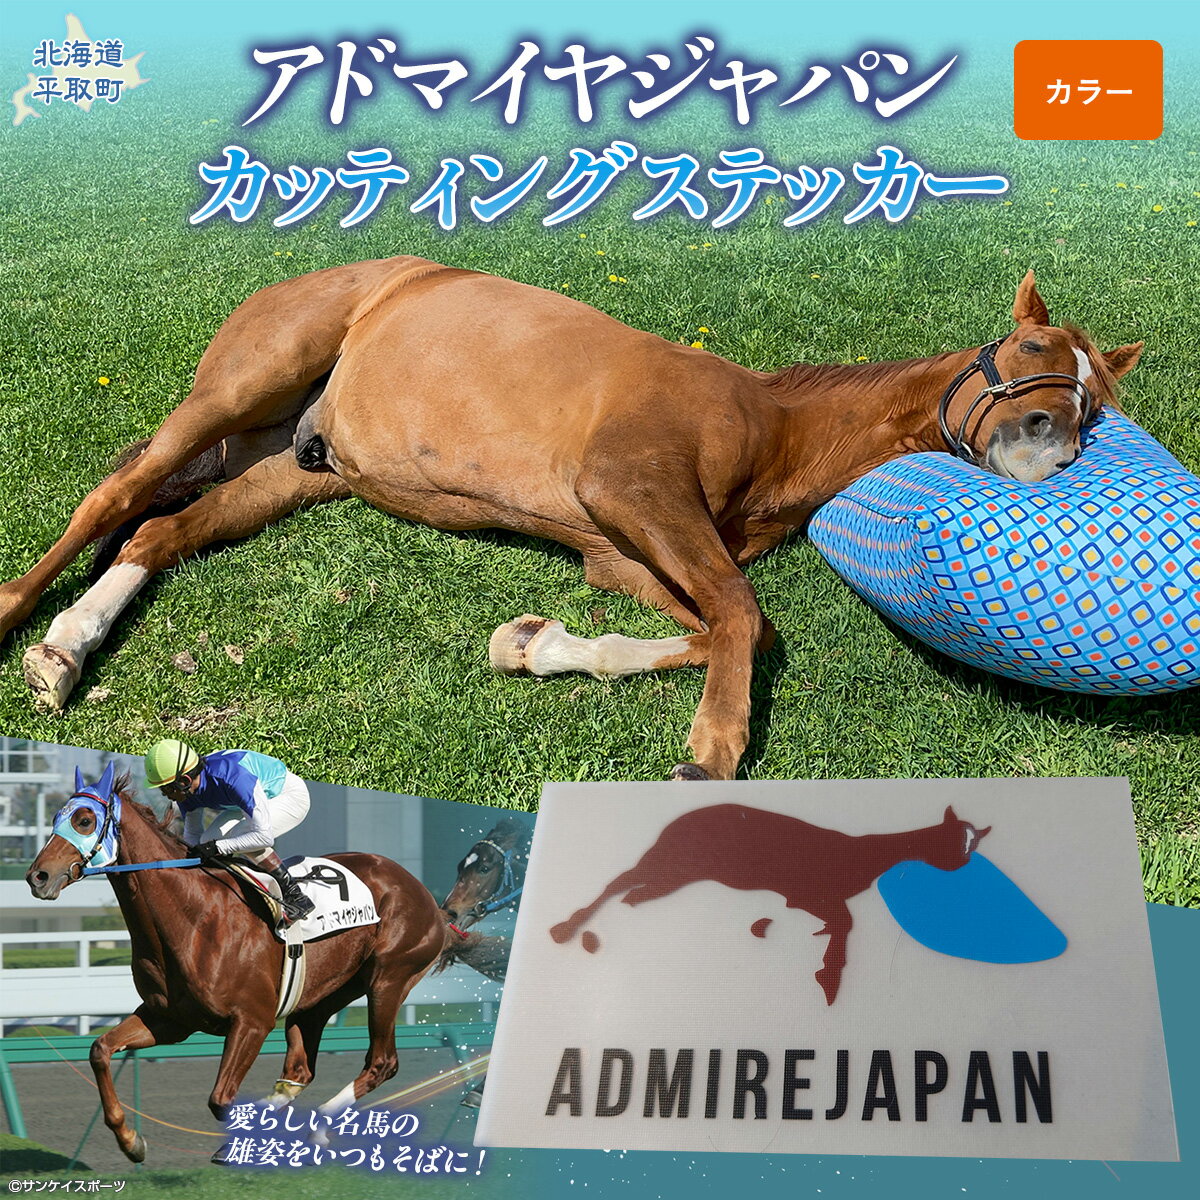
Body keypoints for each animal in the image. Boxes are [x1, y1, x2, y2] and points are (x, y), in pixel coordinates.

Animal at [0, 264, 1142, 779]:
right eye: (1027, 352)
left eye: (1096, 403)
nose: (1048, 451)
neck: (768, 426)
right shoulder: (632, 494)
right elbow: (742, 618)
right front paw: (711, 754)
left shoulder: (620, 551)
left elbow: (720, 626)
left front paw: (532, 644)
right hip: (240, 390)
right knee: (114, 499)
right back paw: (25, 623)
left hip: (294, 468)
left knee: (159, 533)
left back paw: (67, 649)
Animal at [24, 764, 451, 1163]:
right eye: (54, 817)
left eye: (84, 820)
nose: (37, 876)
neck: (194, 918)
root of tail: (425, 895)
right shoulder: (170, 1019)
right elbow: (100, 1049)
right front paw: (131, 1142)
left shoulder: (252, 1021)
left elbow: (221, 1099)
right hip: (320, 997)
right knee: (299, 1069)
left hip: (389, 979)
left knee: (382, 1062)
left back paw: (316, 1131)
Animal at [549, 803, 990, 1005]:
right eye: (952, 840)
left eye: (972, 845)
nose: (962, 866)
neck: (863, 855)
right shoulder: (805, 894)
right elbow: (843, 924)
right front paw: (829, 979)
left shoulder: (815, 899)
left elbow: (841, 923)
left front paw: (827, 970)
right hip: (666, 863)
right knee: (618, 883)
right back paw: (565, 930)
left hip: (674, 876)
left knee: (632, 892)